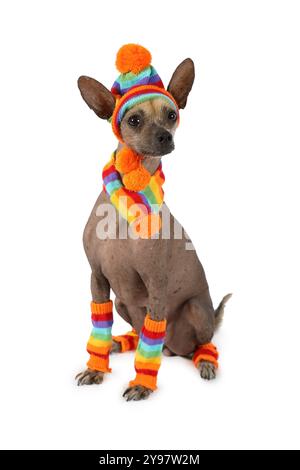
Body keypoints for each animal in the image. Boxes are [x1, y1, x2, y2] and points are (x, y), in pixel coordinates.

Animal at [75, 44, 230, 400]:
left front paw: (142, 386)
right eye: (134, 119)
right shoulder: (97, 280)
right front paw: (96, 368)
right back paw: (120, 343)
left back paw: (205, 361)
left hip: (195, 309)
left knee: (200, 343)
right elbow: (99, 328)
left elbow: (150, 344)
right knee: (139, 333)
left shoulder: (156, 288)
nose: (164, 138)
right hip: (121, 303)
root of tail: (174, 348)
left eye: (171, 115)